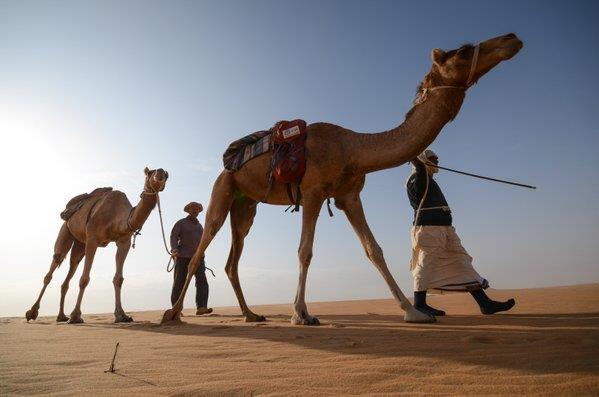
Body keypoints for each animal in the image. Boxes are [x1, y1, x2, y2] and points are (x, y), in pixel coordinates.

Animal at [26, 166, 169, 322]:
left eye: (167, 175)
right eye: (149, 173)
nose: (160, 172)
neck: (118, 218)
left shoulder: (124, 242)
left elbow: (118, 279)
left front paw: (122, 315)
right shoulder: (92, 239)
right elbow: (84, 279)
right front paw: (75, 315)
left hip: (80, 244)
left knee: (71, 269)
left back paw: (61, 316)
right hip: (66, 229)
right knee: (54, 265)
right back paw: (32, 312)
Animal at [162, 32, 524, 324]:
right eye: (463, 51)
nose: (511, 38)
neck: (353, 148)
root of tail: (227, 163)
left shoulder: (349, 195)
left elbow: (374, 250)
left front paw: (414, 312)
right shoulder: (312, 192)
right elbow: (305, 251)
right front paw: (301, 314)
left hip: (246, 206)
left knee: (232, 260)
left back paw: (251, 314)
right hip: (223, 191)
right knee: (200, 248)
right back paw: (173, 314)